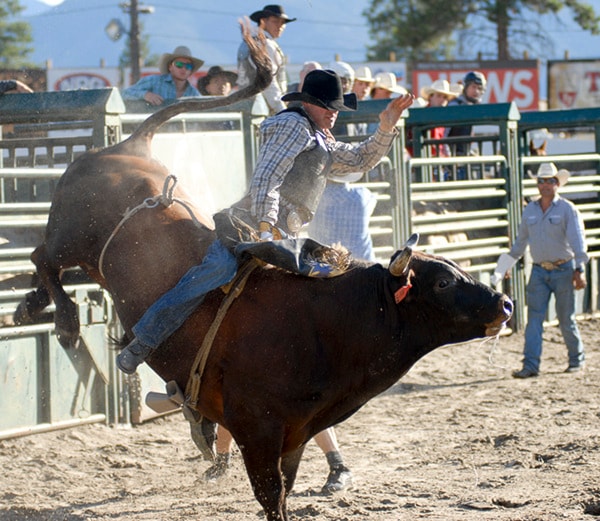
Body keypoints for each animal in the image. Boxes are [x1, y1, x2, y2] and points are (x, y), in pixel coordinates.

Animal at [12, 25, 510, 521]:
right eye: (442, 282)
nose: (504, 304)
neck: (332, 319)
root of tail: (126, 146)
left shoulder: (296, 434)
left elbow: (285, 489)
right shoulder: (259, 430)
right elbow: (272, 495)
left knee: (47, 267)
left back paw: (32, 307)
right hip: (71, 236)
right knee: (42, 256)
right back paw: (65, 322)